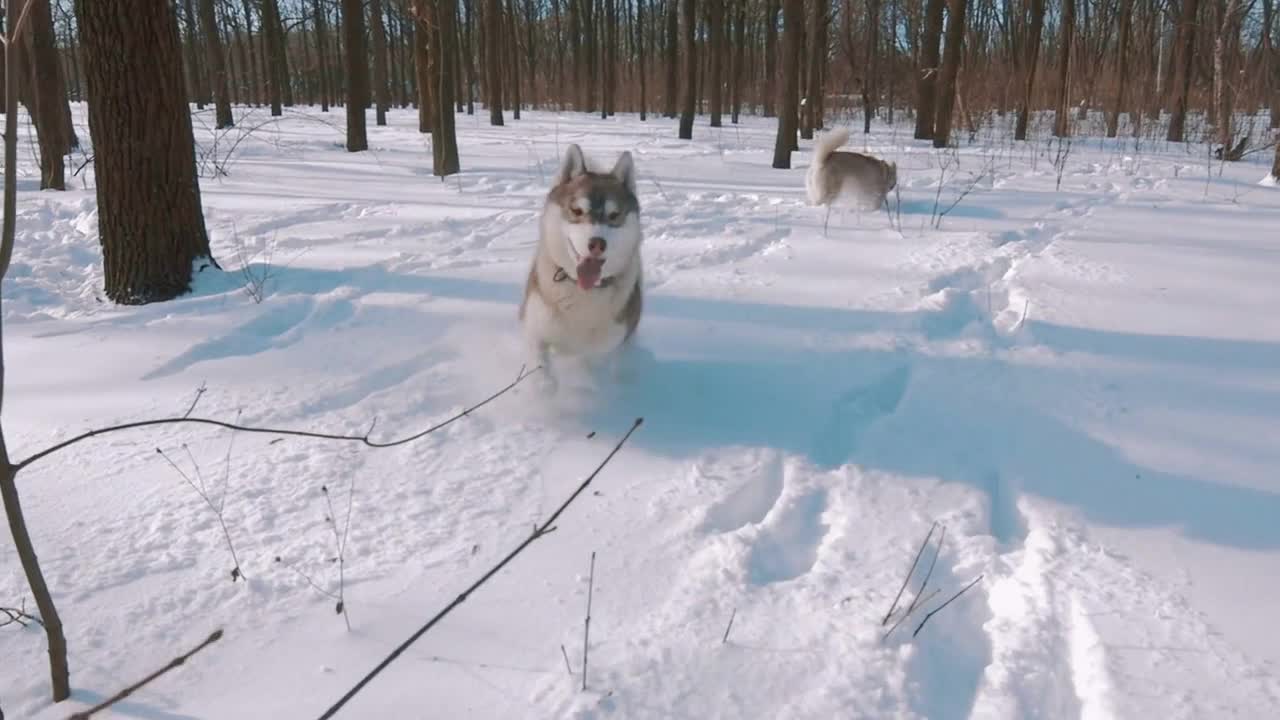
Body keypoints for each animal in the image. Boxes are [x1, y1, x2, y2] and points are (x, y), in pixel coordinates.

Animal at [517, 142, 645, 384]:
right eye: (577, 210)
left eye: (614, 215)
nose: (597, 244)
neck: (582, 291)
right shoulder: (534, 330)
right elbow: (543, 376)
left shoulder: (614, 344)